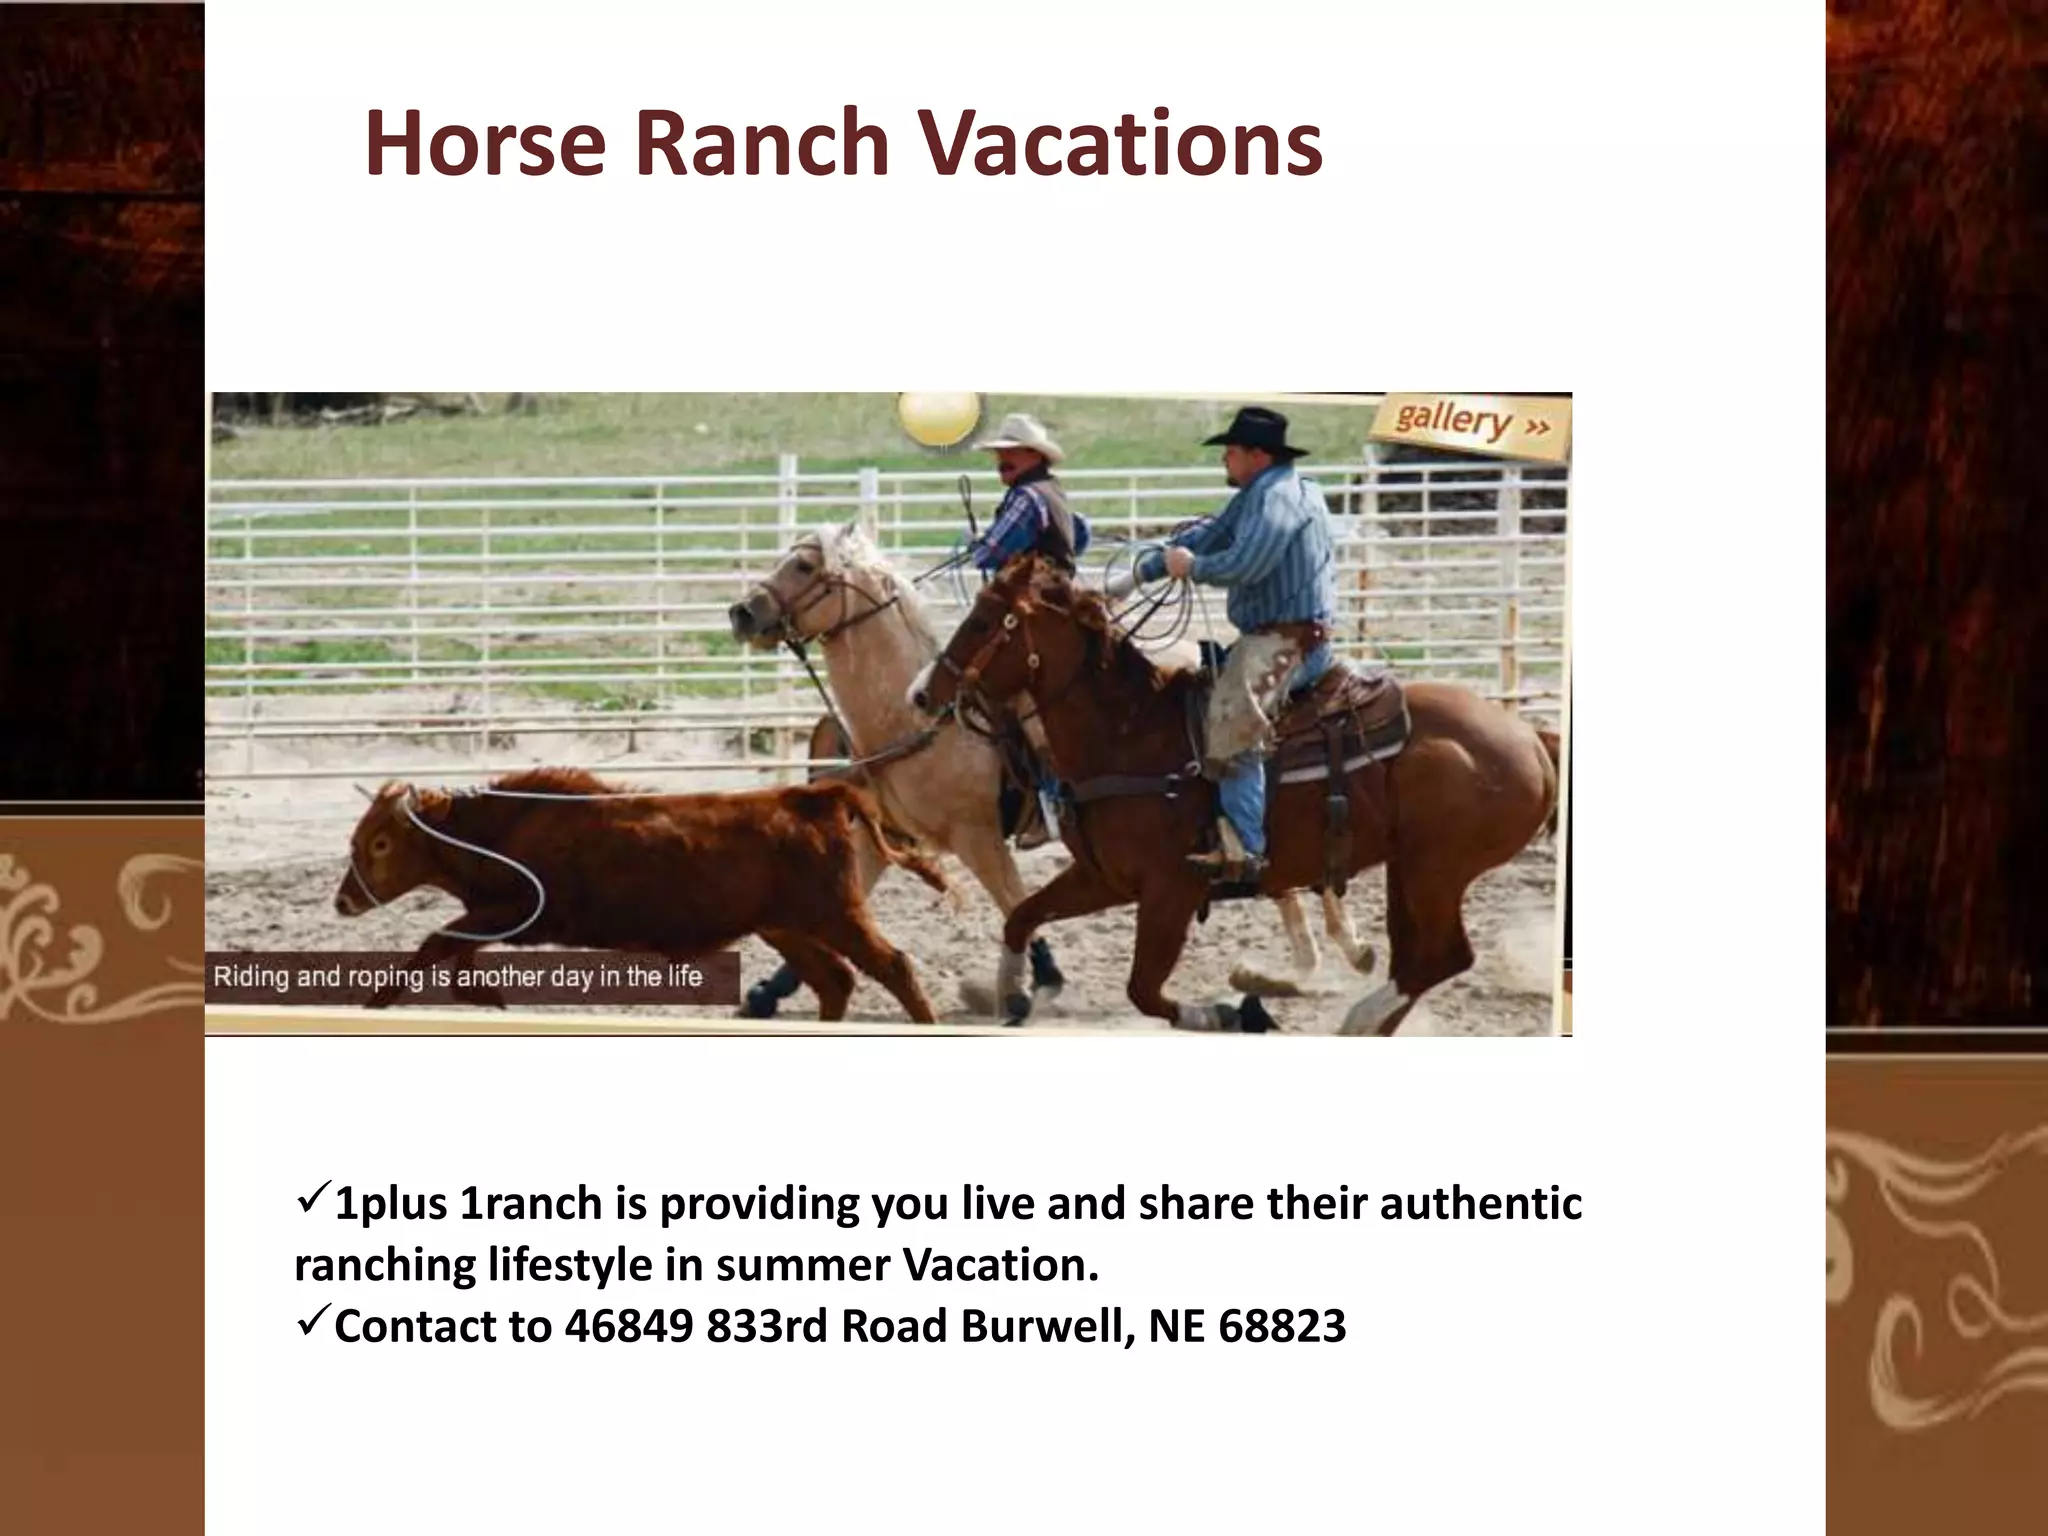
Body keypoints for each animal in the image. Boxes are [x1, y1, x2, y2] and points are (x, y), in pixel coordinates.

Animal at [728, 521, 1374, 1022]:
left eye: (804, 565)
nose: (741, 612)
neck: (911, 717)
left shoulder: (978, 837)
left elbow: (1014, 901)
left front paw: (1038, 982)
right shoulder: (884, 837)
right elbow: (842, 907)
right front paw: (768, 990)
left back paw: (1335, 954)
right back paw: (1306, 963)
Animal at [909, 556, 1559, 1034]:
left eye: (984, 623)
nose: (921, 693)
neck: (1128, 735)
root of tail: (1529, 737)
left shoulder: (1169, 890)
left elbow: (1144, 989)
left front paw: (1232, 1012)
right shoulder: (1104, 878)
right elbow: (1021, 917)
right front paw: (1014, 991)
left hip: (1436, 870)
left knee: (1445, 957)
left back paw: (1354, 1018)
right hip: (1411, 869)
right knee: (1419, 957)